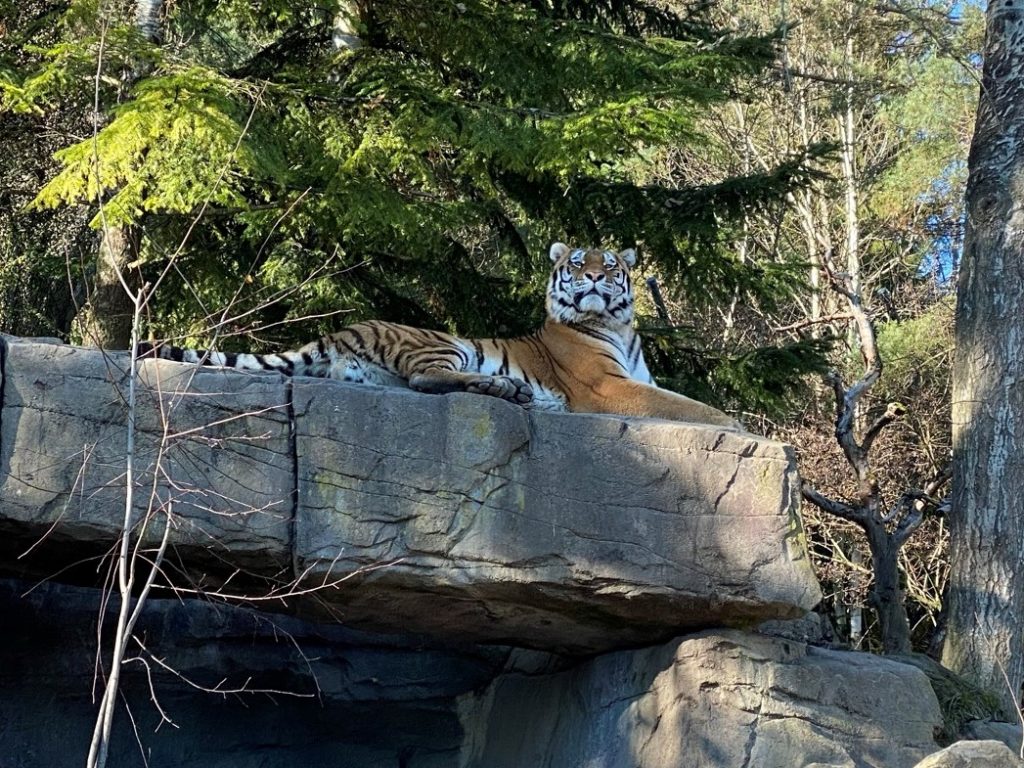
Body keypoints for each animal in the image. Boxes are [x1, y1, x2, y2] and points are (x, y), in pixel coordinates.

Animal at [138, 243, 742, 430]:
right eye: (576, 262)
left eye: (610, 264)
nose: (593, 278)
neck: (614, 324)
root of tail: (343, 328)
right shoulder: (610, 388)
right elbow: (689, 406)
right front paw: (738, 425)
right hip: (443, 342)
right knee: (427, 380)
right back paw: (508, 390)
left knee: (417, 385)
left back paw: (511, 392)